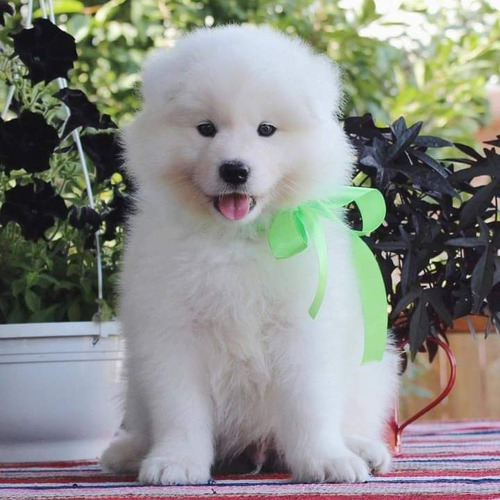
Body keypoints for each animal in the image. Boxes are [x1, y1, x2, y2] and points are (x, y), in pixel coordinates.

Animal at [99, 24, 400, 484]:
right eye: (206, 128)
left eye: (266, 129)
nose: (235, 170)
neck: (235, 239)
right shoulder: (172, 331)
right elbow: (179, 409)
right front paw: (177, 462)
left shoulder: (303, 327)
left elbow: (310, 405)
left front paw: (325, 460)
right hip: (134, 379)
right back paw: (129, 452)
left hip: (373, 367)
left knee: (354, 417)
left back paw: (362, 450)